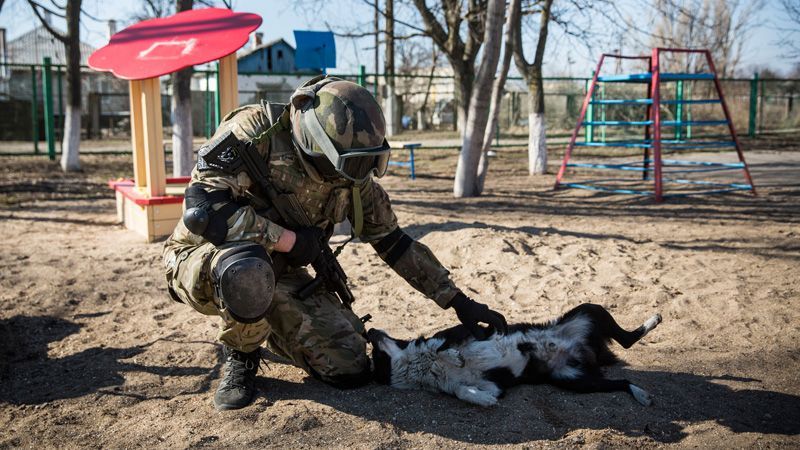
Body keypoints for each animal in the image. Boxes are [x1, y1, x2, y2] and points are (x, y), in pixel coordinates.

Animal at [368, 304, 664, 406]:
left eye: (375, 354)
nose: (369, 330)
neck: (420, 366)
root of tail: (586, 352)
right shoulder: (492, 384)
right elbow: (464, 391)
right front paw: (483, 400)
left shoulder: (466, 330)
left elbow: (442, 347)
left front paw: (453, 357)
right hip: (575, 380)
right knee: (622, 382)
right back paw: (642, 394)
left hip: (588, 310)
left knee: (627, 340)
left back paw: (653, 320)